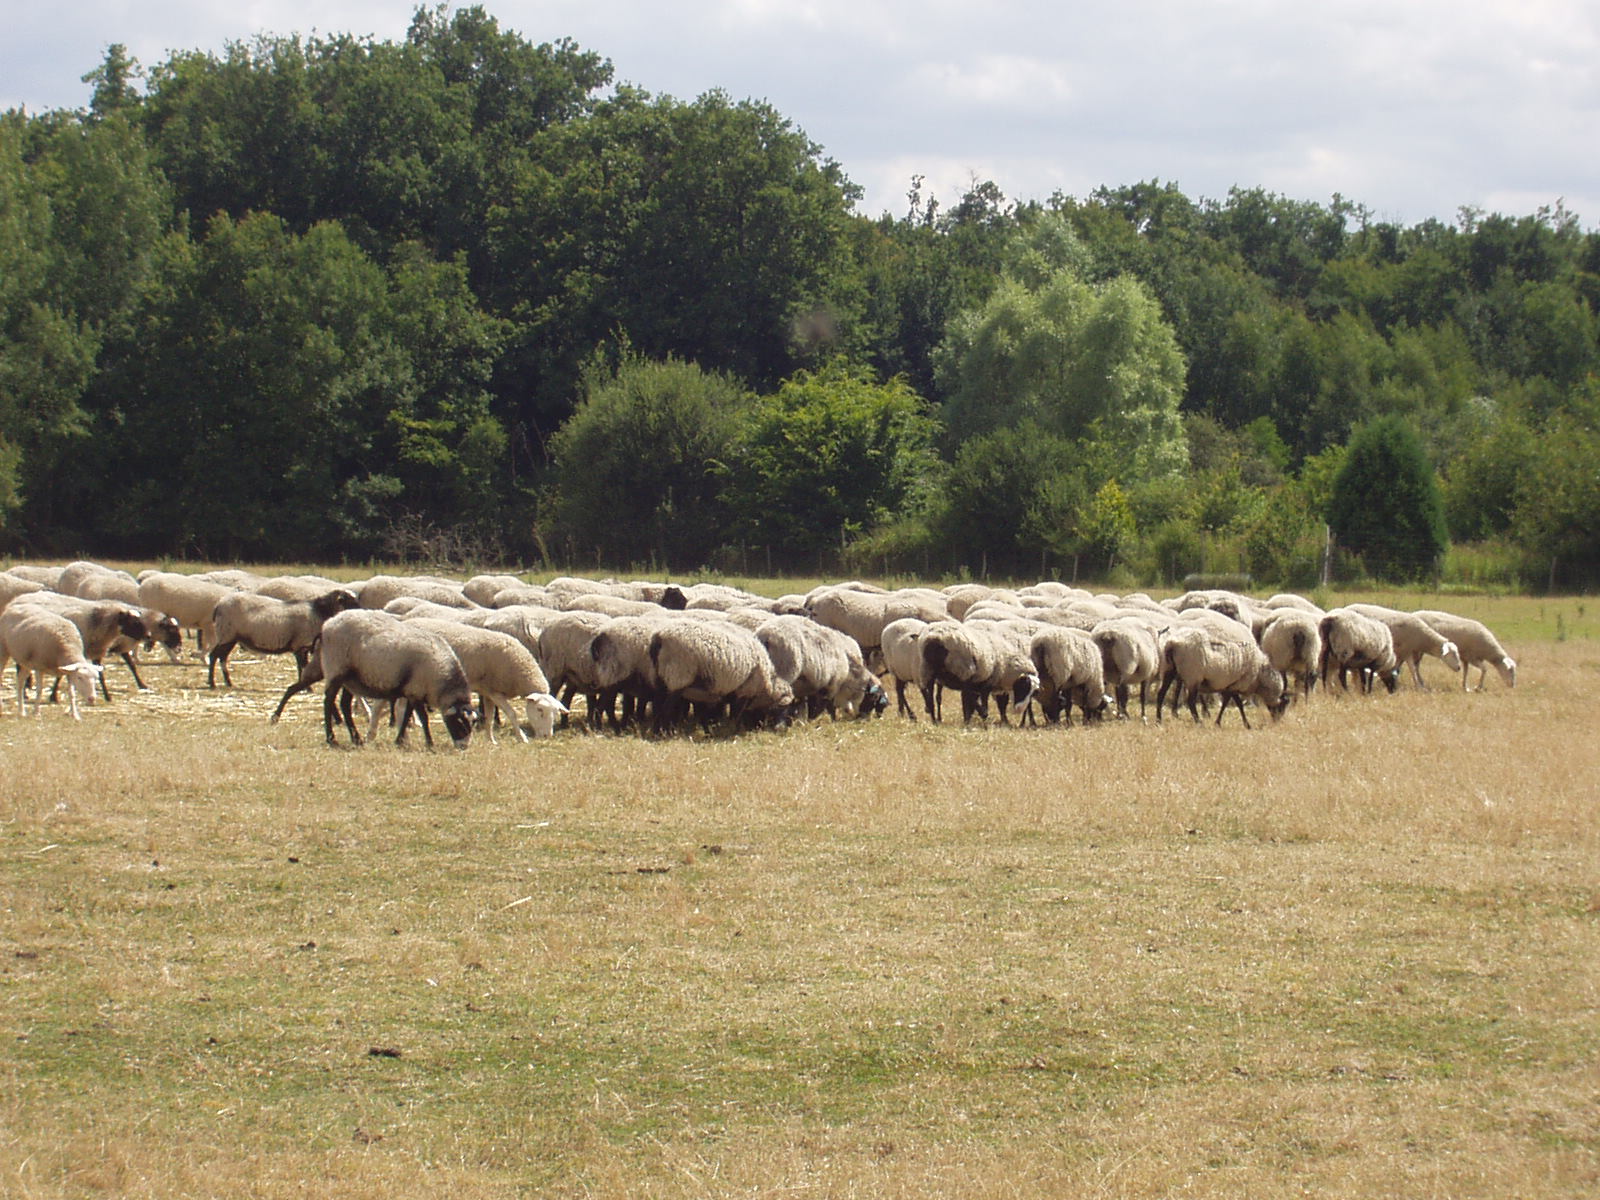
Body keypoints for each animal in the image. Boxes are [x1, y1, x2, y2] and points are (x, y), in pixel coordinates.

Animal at [208, 588, 361, 684]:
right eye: (351, 602)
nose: (362, 611)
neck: (318, 611)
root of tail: (218, 605)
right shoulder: (300, 645)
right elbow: (302, 667)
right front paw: (307, 688)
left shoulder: (304, 646)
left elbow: (303, 667)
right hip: (226, 634)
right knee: (214, 656)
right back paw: (212, 683)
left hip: (230, 637)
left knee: (222, 657)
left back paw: (228, 683)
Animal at [316, 611, 473, 752]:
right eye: (461, 724)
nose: (463, 747)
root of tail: (328, 623)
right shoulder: (416, 691)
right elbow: (423, 718)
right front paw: (429, 744)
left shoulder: (411, 691)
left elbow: (407, 716)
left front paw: (400, 741)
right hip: (335, 670)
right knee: (328, 702)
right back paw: (332, 739)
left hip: (351, 679)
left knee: (344, 705)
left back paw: (357, 739)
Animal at [406, 620, 569, 742]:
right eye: (540, 710)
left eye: (555, 712)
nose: (547, 736)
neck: (520, 668)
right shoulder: (495, 692)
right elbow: (512, 714)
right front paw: (522, 737)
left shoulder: (488, 692)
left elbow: (489, 717)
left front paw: (490, 740)